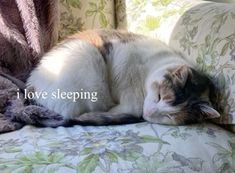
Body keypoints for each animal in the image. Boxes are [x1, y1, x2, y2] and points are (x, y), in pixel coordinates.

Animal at [26, 29, 220, 125]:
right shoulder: (125, 61)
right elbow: (133, 105)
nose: (149, 113)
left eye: (171, 117)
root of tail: (32, 87)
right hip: (89, 60)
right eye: (159, 96)